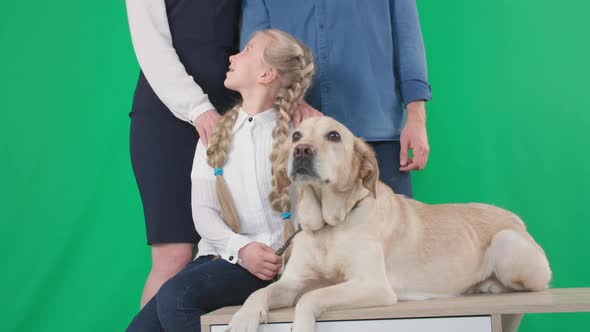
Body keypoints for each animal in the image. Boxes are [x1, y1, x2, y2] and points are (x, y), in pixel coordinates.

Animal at [228, 116, 556, 332]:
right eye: (296, 136)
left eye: (333, 136)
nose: (302, 151)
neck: (329, 226)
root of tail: (516, 218)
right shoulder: (291, 283)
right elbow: (259, 293)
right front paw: (243, 318)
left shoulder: (372, 285)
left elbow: (310, 297)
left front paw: (301, 325)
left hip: (506, 244)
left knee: (535, 285)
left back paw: (488, 286)